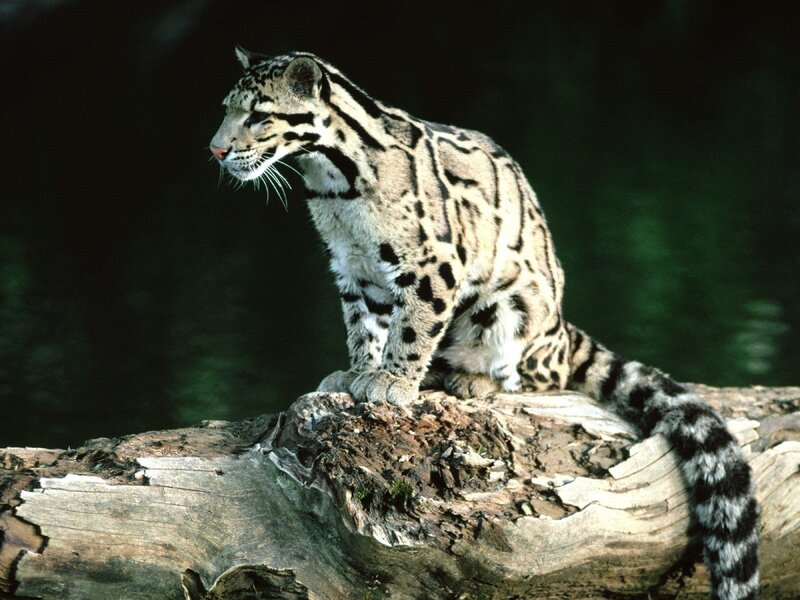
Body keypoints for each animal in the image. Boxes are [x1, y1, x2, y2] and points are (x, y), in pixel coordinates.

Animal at [210, 48, 759, 600]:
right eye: (227, 109)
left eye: (258, 115)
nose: (215, 150)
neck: (334, 186)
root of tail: (563, 332)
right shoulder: (353, 268)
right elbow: (363, 325)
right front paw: (358, 372)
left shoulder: (433, 263)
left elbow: (411, 329)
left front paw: (391, 382)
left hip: (508, 310)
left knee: (533, 378)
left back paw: (469, 379)